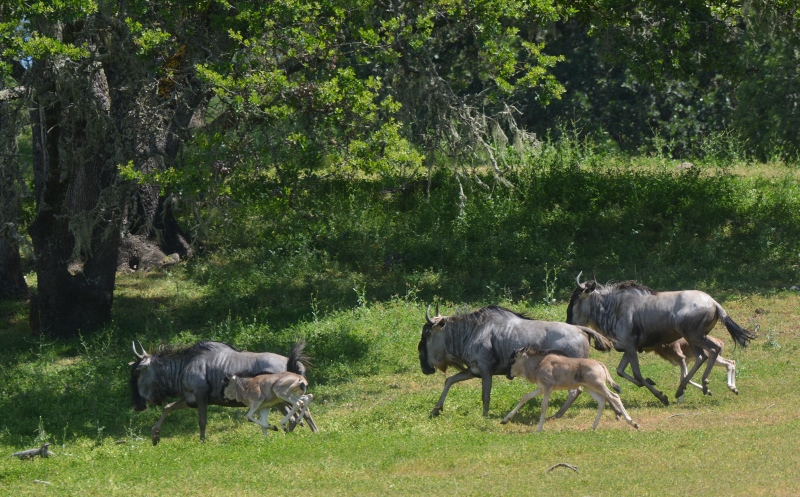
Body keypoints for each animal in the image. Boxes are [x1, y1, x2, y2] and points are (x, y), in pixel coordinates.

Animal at [504, 344, 640, 430]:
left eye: (512, 360)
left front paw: (539, 428)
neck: (539, 363)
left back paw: (633, 423)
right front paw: (505, 419)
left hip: (599, 385)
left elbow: (543, 407)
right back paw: (594, 426)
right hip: (589, 388)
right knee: (602, 400)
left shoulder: (547, 388)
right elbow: (525, 397)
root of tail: (600, 364)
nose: (508, 375)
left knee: (614, 397)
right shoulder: (541, 388)